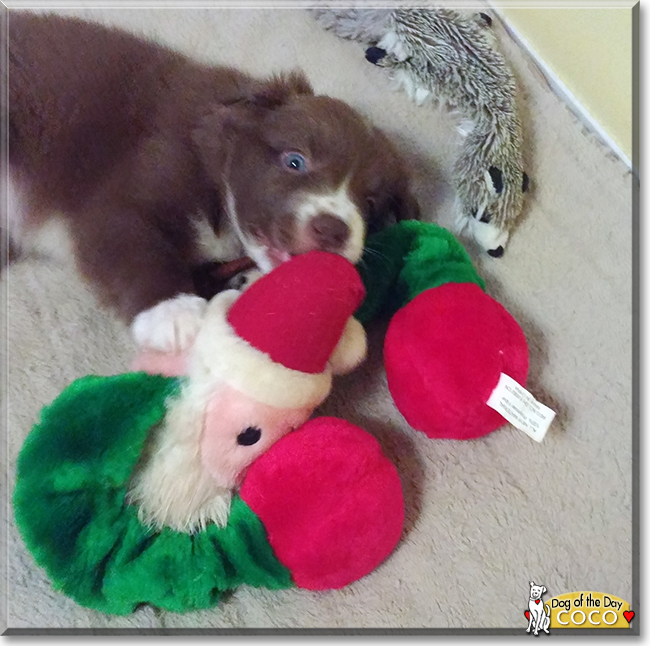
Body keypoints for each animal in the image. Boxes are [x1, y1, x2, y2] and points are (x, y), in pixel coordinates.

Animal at [6, 11, 420, 350]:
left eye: (370, 204)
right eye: (295, 161)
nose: (332, 230)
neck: (217, 173)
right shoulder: (129, 185)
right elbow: (134, 242)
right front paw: (173, 315)